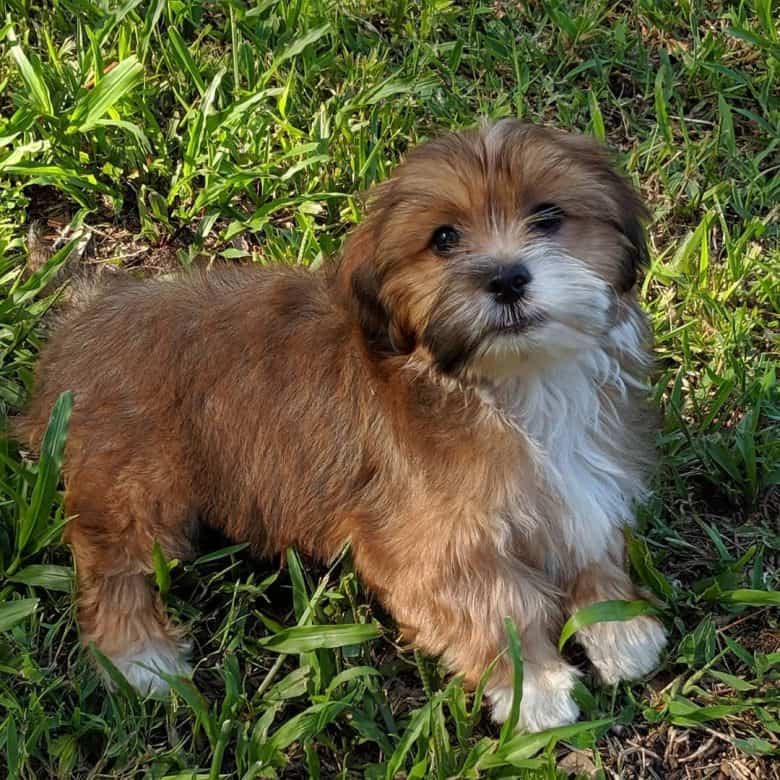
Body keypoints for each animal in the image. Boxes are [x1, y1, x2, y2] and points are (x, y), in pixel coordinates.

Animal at [15, 120, 668, 732]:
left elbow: (589, 538)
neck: (504, 383)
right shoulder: (429, 544)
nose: (507, 278)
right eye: (444, 239)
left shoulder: (579, 482)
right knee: (112, 559)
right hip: (133, 477)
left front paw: (620, 625)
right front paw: (533, 686)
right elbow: (497, 603)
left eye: (549, 216)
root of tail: (83, 321)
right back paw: (140, 655)